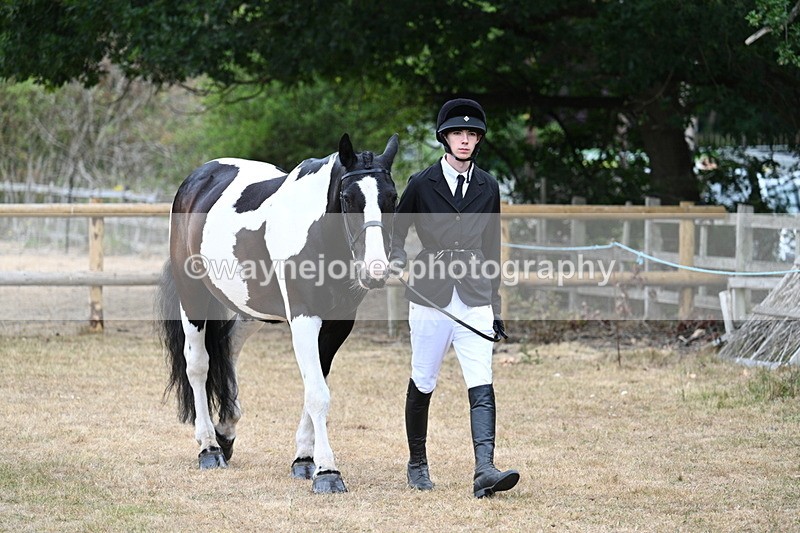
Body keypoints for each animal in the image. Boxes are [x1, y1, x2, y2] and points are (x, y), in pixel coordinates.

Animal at [156, 133, 399, 493]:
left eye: (393, 197)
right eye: (348, 197)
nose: (375, 270)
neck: (320, 237)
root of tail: (198, 178)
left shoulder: (337, 324)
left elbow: (315, 385)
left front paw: (304, 459)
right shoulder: (304, 319)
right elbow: (317, 394)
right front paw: (327, 472)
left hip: (252, 306)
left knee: (229, 346)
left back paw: (225, 431)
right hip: (193, 296)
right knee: (198, 365)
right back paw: (209, 448)